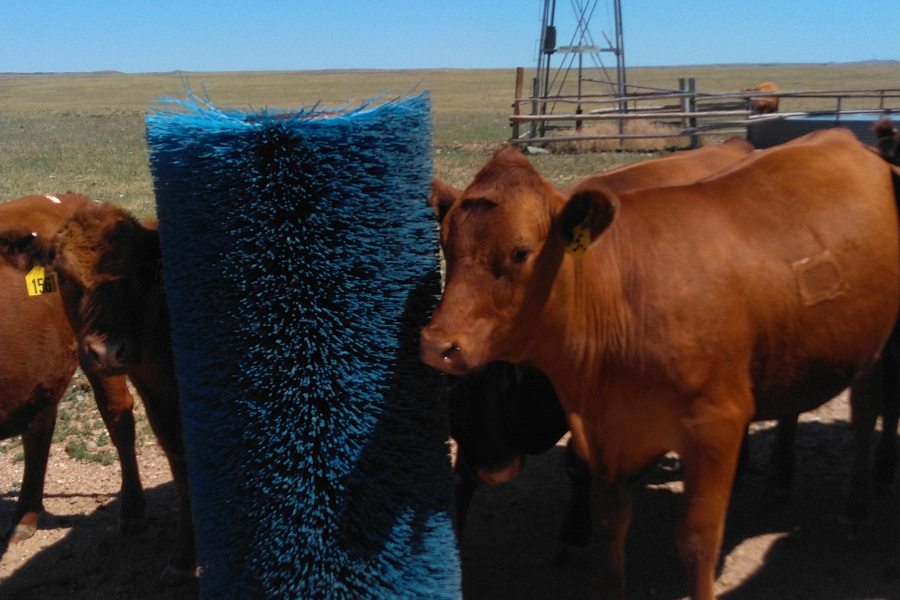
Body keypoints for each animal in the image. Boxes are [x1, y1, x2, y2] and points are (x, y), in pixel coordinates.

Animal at [422, 127, 900, 600]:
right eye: (446, 244)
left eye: (521, 252)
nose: (437, 344)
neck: (618, 295)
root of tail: (843, 136)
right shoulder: (606, 433)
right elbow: (614, 527)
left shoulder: (716, 425)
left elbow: (698, 540)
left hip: (879, 344)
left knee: (867, 411)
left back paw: (860, 502)